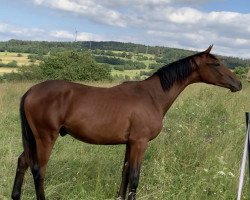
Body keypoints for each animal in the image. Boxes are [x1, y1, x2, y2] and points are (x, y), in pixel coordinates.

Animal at [10, 45, 241, 200]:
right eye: (216, 63)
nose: (238, 84)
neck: (152, 96)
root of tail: (31, 91)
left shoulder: (130, 143)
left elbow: (125, 173)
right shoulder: (140, 142)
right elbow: (135, 177)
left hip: (33, 139)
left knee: (23, 162)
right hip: (45, 138)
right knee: (39, 170)